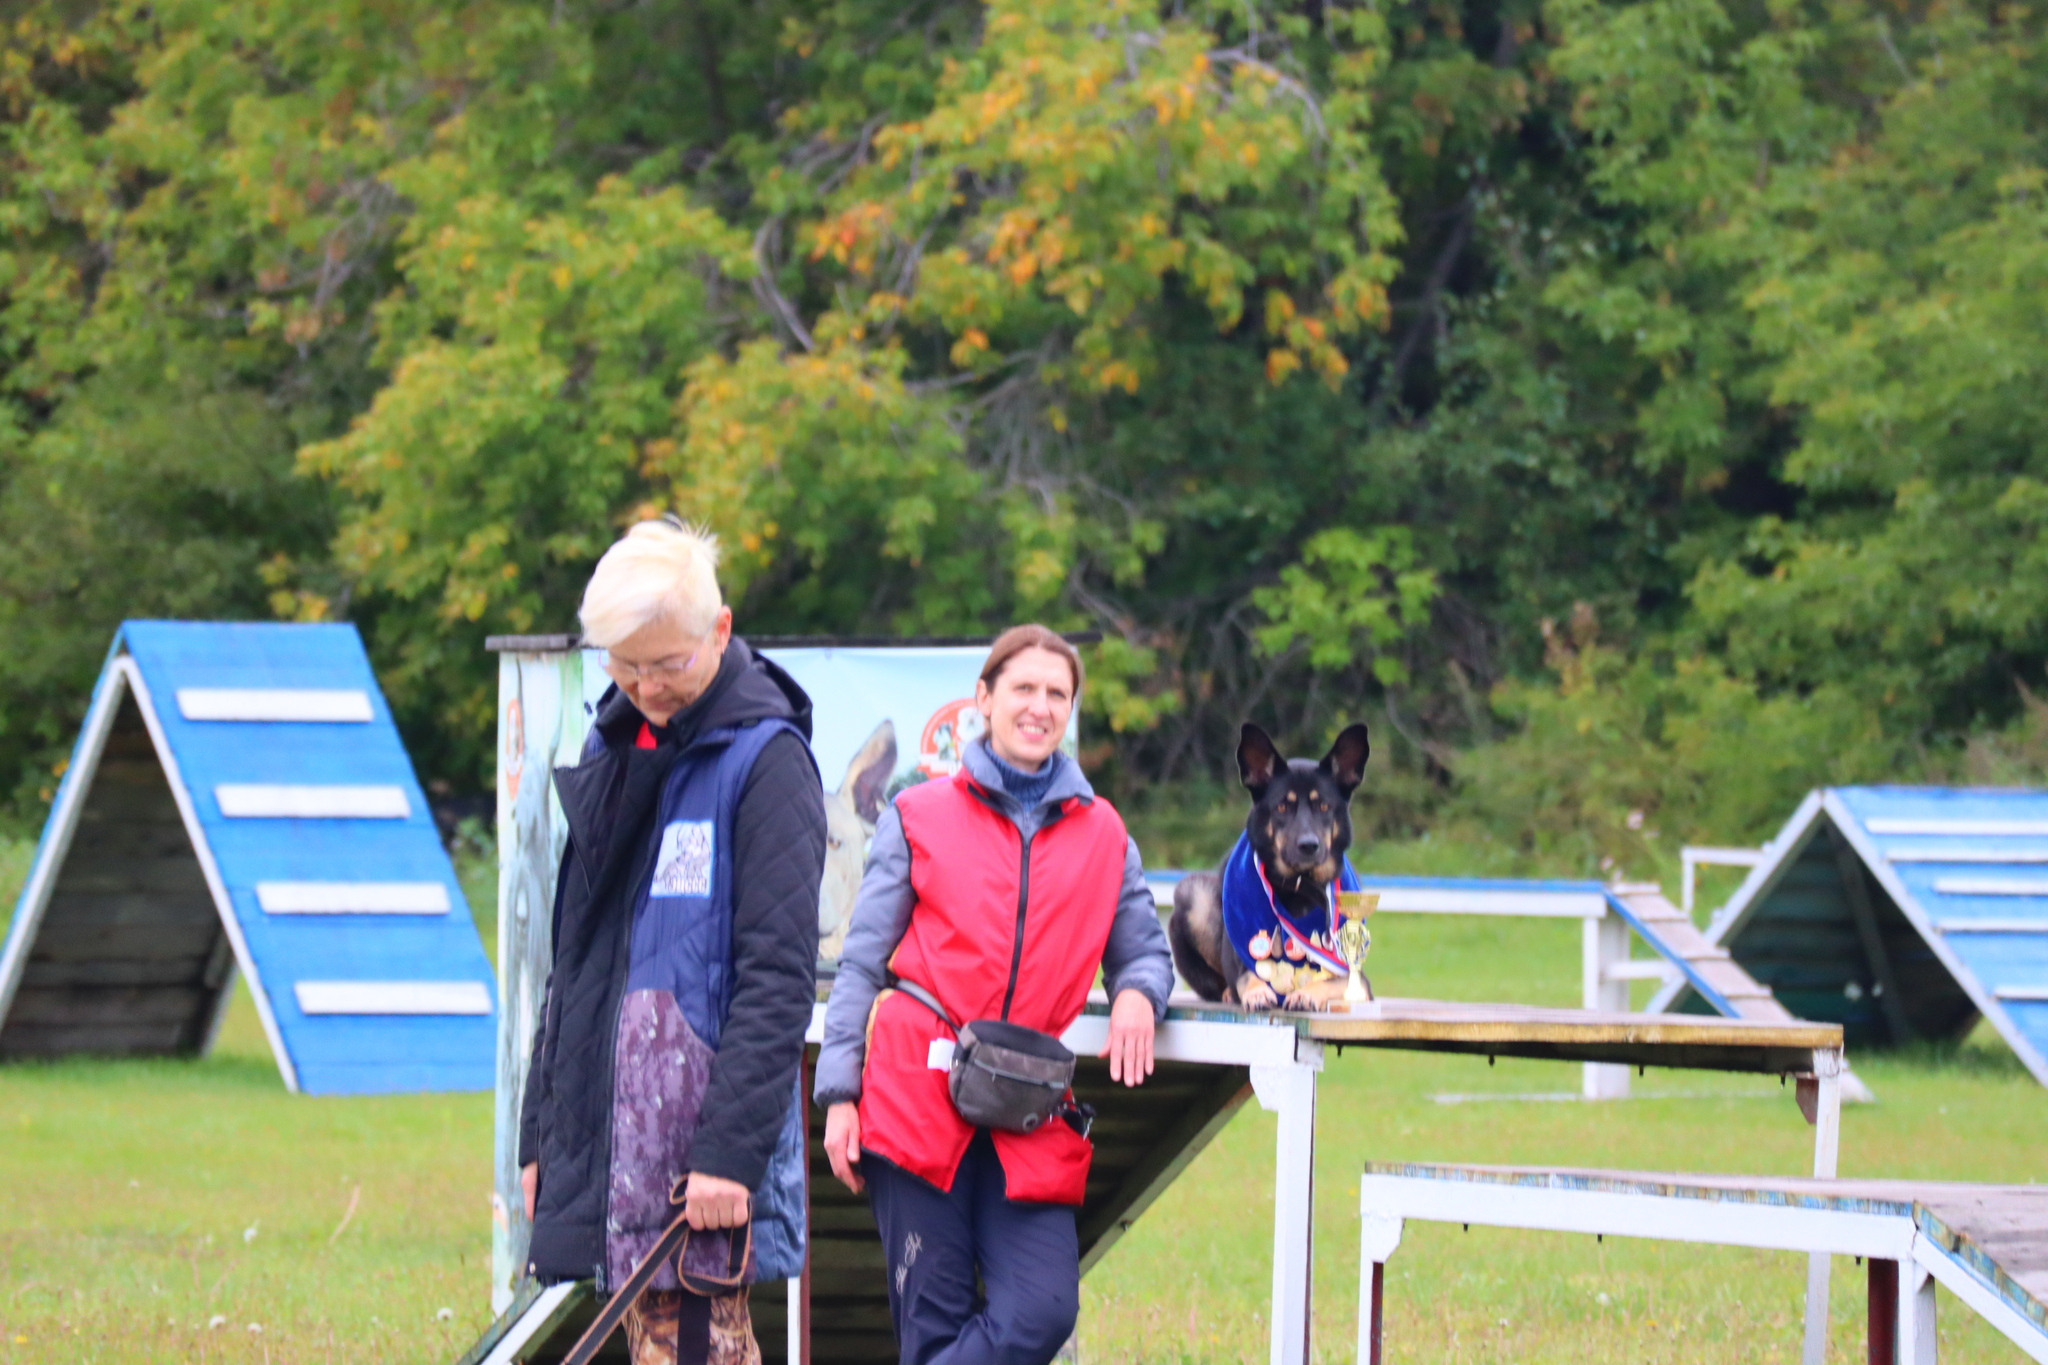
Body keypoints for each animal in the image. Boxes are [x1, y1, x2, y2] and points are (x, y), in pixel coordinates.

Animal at [1179, 724, 1368, 1015]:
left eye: (1324, 806)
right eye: (1281, 807)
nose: (1308, 845)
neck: (1300, 887)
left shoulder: (1357, 977)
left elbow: (1335, 981)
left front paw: (1307, 994)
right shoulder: (1243, 961)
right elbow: (1249, 975)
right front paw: (1258, 992)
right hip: (1193, 895)